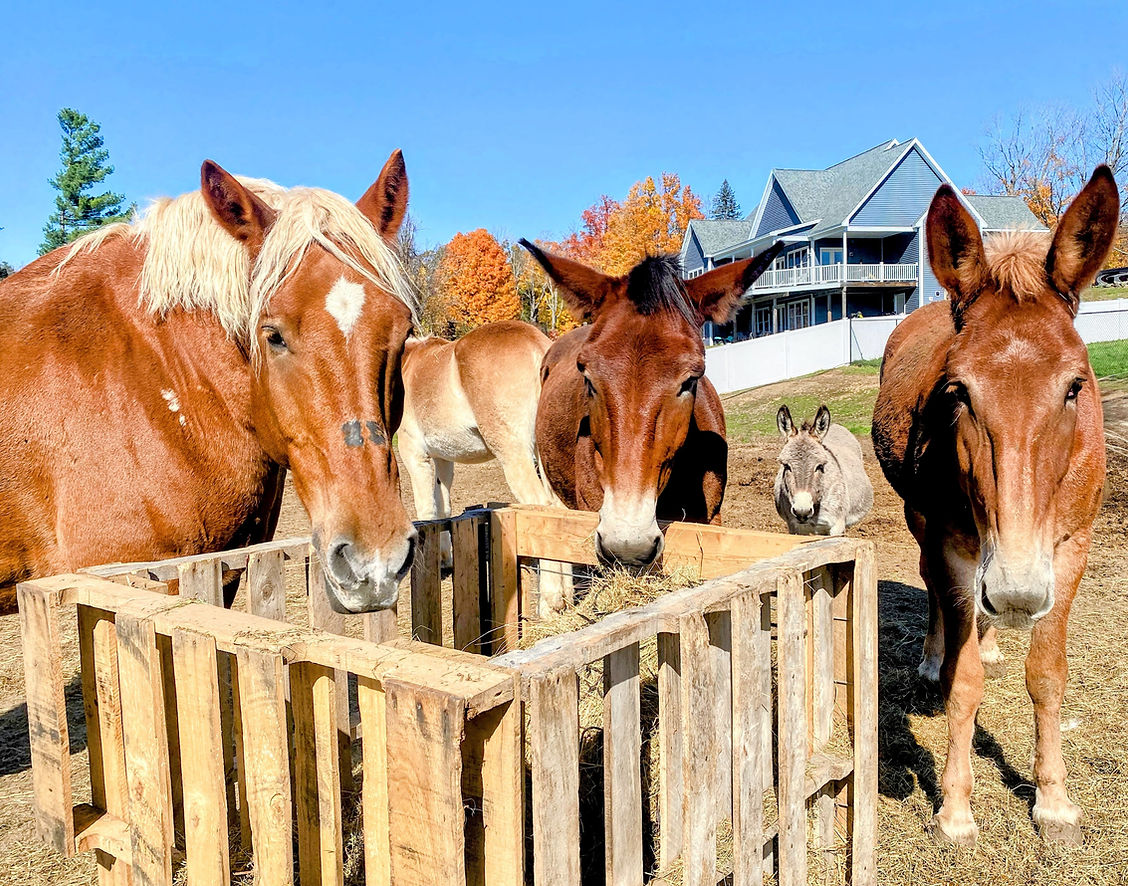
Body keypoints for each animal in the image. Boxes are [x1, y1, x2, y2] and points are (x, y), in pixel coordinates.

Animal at [774, 404, 873, 535]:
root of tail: (836, 425)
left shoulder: (837, 526)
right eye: (786, 466)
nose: (802, 512)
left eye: (820, 466)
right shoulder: (794, 528)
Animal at [872, 166, 1118, 846]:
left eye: (1075, 386)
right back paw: (938, 654)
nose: (1014, 592)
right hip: (925, 528)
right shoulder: (955, 547)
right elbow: (964, 686)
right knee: (934, 591)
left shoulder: (1070, 549)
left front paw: (1053, 800)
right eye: (958, 391)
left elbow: (1048, 675)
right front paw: (955, 808)